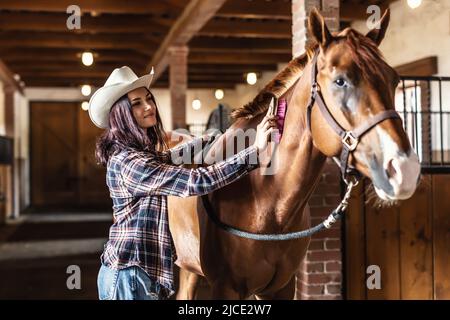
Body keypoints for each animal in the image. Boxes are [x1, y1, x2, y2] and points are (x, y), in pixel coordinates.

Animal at [167, 10, 420, 300]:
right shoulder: (225, 288)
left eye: (394, 79)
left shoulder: (282, 287)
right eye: (340, 80)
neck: (265, 198)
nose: (404, 168)